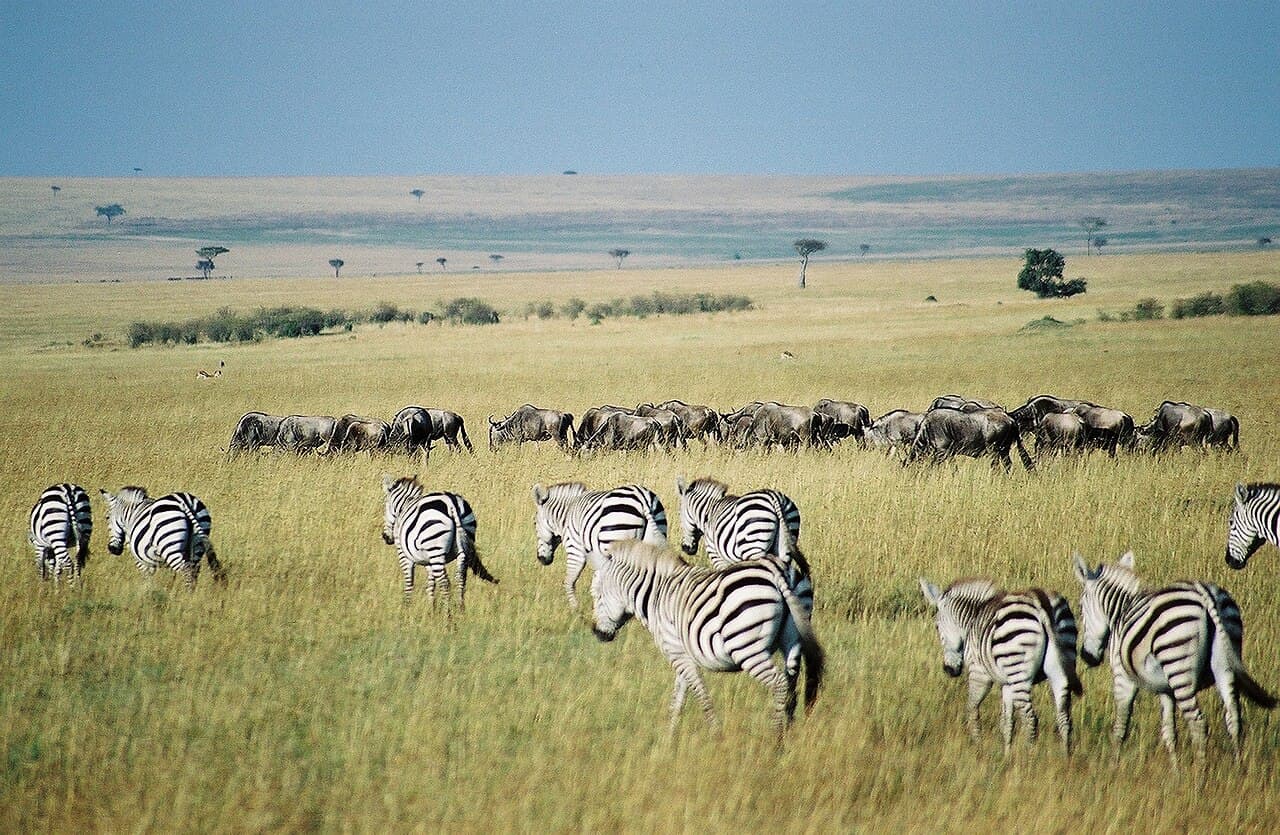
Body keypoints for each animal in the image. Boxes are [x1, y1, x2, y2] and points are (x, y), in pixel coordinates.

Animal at [381, 475, 497, 608]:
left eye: (386, 505)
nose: (385, 537)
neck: (406, 504)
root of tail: (451, 503)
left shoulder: (404, 555)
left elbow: (409, 581)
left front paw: (406, 606)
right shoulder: (427, 560)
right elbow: (431, 584)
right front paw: (431, 607)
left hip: (435, 549)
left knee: (444, 582)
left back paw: (448, 613)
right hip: (462, 547)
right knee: (460, 578)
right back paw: (460, 609)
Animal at [531, 481, 667, 607]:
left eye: (534, 523)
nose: (541, 559)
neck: (566, 514)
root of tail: (643, 499)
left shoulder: (575, 548)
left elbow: (569, 581)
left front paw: (574, 609)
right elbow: (596, 584)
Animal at [589, 539, 824, 736]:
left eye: (596, 595)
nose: (597, 633)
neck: (656, 593)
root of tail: (776, 568)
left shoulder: (676, 652)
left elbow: (699, 693)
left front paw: (715, 734)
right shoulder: (682, 654)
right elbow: (678, 697)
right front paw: (669, 739)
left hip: (747, 648)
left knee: (779, 684)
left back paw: (775, 740)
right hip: (793, 639)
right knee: (791, 685)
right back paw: (788, 733)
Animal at [919, 577, 1082, 754]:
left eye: (937, 627)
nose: (949, 670)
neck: (972, 618)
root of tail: (1040, 599)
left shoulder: (979, 673)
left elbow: (972, 709)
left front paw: (978, 748)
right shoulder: (1006, 683)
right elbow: (1006, 722)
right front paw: (1006, 756)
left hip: (1018, 669)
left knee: (1030, 719)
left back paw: (1029, 756)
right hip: (1060, 666)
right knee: (1064, 718)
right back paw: (1065, 757)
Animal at [1073, 550, 1277, 764]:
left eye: (1080, 608)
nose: (1086, 656)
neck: (1121, 610)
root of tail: (1205, 595)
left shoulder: (1123, 677)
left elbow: (1121, 726)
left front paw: (1114, 765)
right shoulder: (1165, 688)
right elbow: (1170, 732)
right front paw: (1175, 769)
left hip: (1178, 666)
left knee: (1198, 723)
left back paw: (1200, 772)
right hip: (1225, 663)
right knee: (1234, 719)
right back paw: (1238, 767)